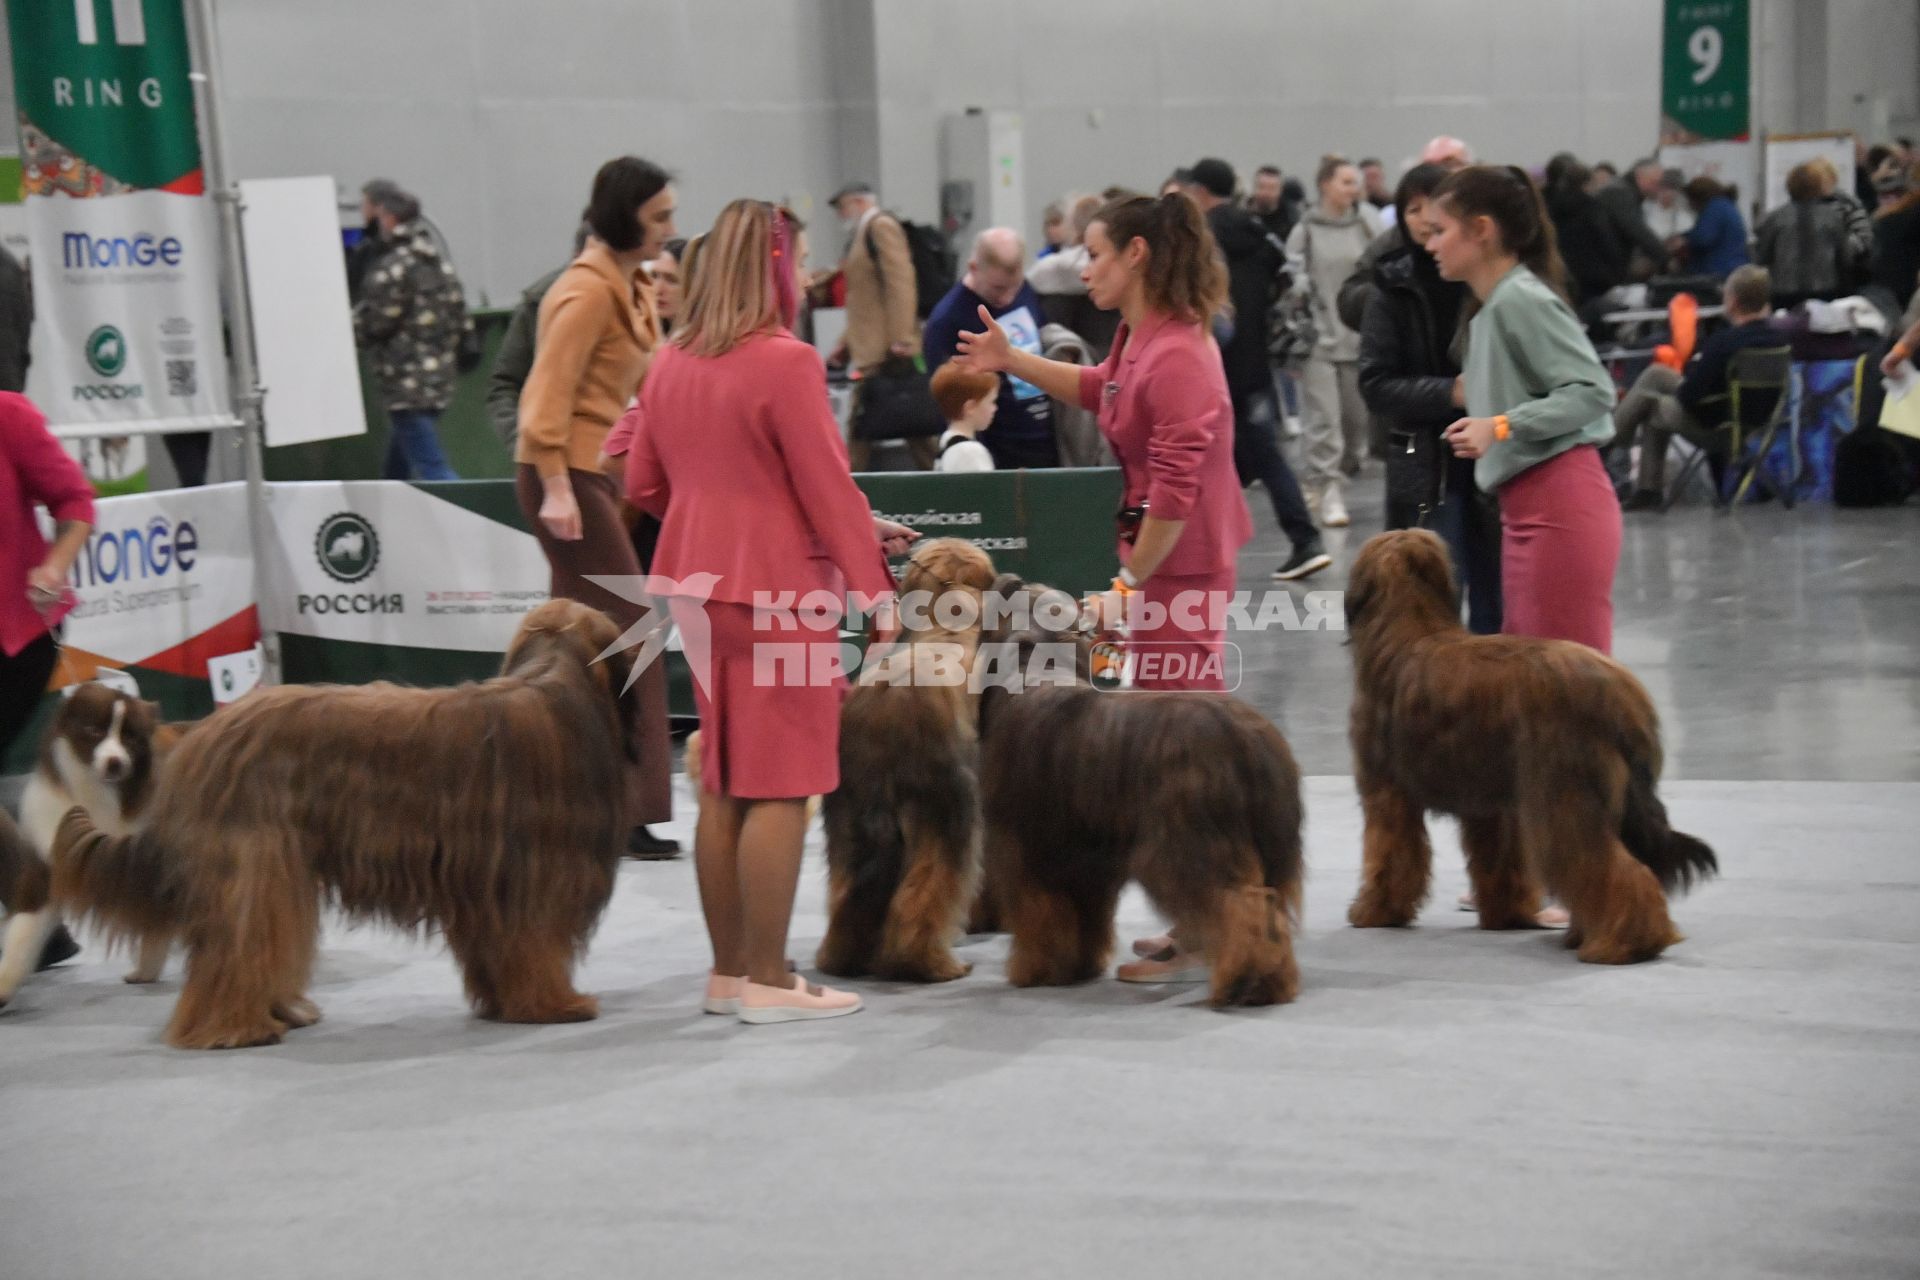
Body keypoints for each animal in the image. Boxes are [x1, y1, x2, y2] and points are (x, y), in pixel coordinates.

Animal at [46, 602, 637, 1051]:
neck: (556, 686)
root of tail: (200, 741)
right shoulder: (525, 878)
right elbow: (532, 943)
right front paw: (555, 1004)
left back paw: (278, 1011)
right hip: (258, 860)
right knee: (238, 946)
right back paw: (235, 1029)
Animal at [814, 537, 998, 990]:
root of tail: (886, 712)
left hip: (848, 814)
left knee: (850, 885)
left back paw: (843, 956)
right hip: (944, 809)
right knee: (927, 889)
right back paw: (926, 963)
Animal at [975, 579, 1305, 1013]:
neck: (1036, 671)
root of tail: (1249, 738)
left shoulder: (1027, 852)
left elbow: (1040, 917)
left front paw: (1034, 971)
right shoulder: (1085, 862)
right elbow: (1082, 916)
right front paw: (1076, 966)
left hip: (1185, 846)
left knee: (1242, 904)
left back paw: (1245, 983)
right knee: (1268, 905)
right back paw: (1271, 982)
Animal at [1344, 529, 1720, 959]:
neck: (1410, 628)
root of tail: (1622, 695)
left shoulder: (1388, 794)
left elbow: (1389, 858)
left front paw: (1375, 911)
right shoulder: (1493, 807)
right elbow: (1501, 864)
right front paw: (1506, 917)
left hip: (1564, 798)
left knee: (1615, 870)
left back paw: (1623, 944)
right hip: (1614, 802)